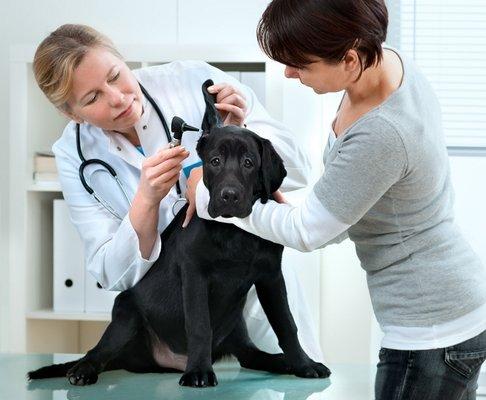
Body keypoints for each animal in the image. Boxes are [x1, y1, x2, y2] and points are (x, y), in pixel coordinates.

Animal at [27, 79, 330, 388]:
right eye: (215, 161)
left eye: (248, 163)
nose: (229, 196)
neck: (234, 233)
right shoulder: (194, 272)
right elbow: (199, 325)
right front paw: (198, 371)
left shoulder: (270, 275)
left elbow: (287, 325)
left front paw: (303, 363)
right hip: (126, 314)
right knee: (98, 351)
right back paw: (82, 370)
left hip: (235, 328)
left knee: (249, 356)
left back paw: (280, 361)